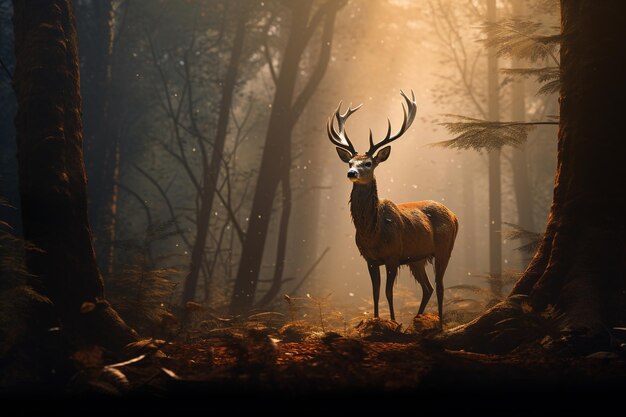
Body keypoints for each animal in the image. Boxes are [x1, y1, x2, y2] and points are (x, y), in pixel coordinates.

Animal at [326, 90, 458, 324]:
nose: (351, 173)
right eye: (350, 162)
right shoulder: (369, 259)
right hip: (417, 259)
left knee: (441, 286)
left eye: (368, 163)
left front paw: (394, 322)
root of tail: (455, 216)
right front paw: (377, 320)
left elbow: (388, 292)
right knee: (428, 288)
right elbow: (375, 293)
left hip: (444, 249)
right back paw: (417, 318)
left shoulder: (393, 256)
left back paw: (441, 323)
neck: (373, 232)